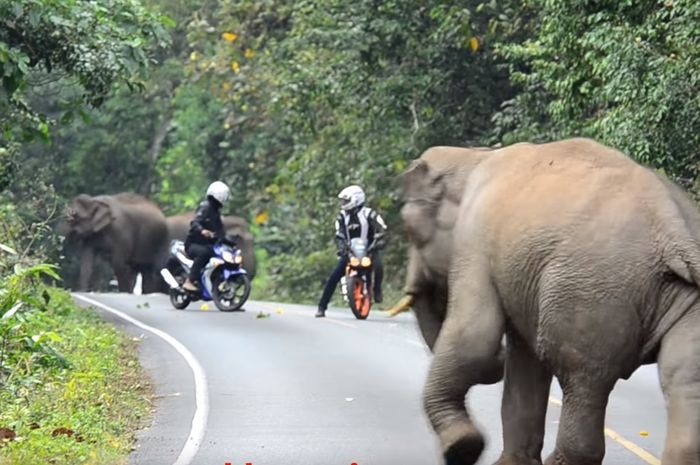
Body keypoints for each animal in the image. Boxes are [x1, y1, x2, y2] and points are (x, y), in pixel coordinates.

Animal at [396, 138, 696, 464]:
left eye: (408, 227)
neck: (473, 156)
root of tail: (673, 226)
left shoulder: (474, 240)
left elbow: (475, 338)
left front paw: (461, 448)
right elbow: (524, 360)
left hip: (589, 294)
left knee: (582, 376)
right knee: (683, 380)